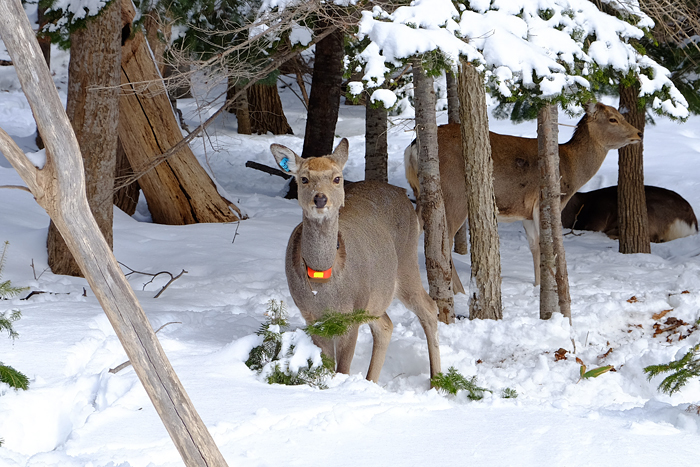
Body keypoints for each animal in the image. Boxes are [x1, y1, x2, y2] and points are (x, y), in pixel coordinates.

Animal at [270, 138, 440, 384]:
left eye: (337, 178)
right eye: (304, 178)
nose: (320, 198)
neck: (322, 281)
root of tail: (406, 199)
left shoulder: (351, 313)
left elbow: (342, 369)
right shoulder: (311, 316)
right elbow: (327, 365)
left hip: (405, 265)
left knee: (428, 307)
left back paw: (437, 379)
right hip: (376, 294)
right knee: (386, 324)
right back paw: (371, 381)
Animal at [404, 102, 644, 292]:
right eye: (613, 119)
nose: (639, 133)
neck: (570, 168)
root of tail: (413, 147)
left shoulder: (526, 212)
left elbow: (534, 245)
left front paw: (537, 286)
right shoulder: (543, 202)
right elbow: (547, 244)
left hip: (420, 193)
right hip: (455, 194)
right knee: (442, 241)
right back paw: (459, 291)